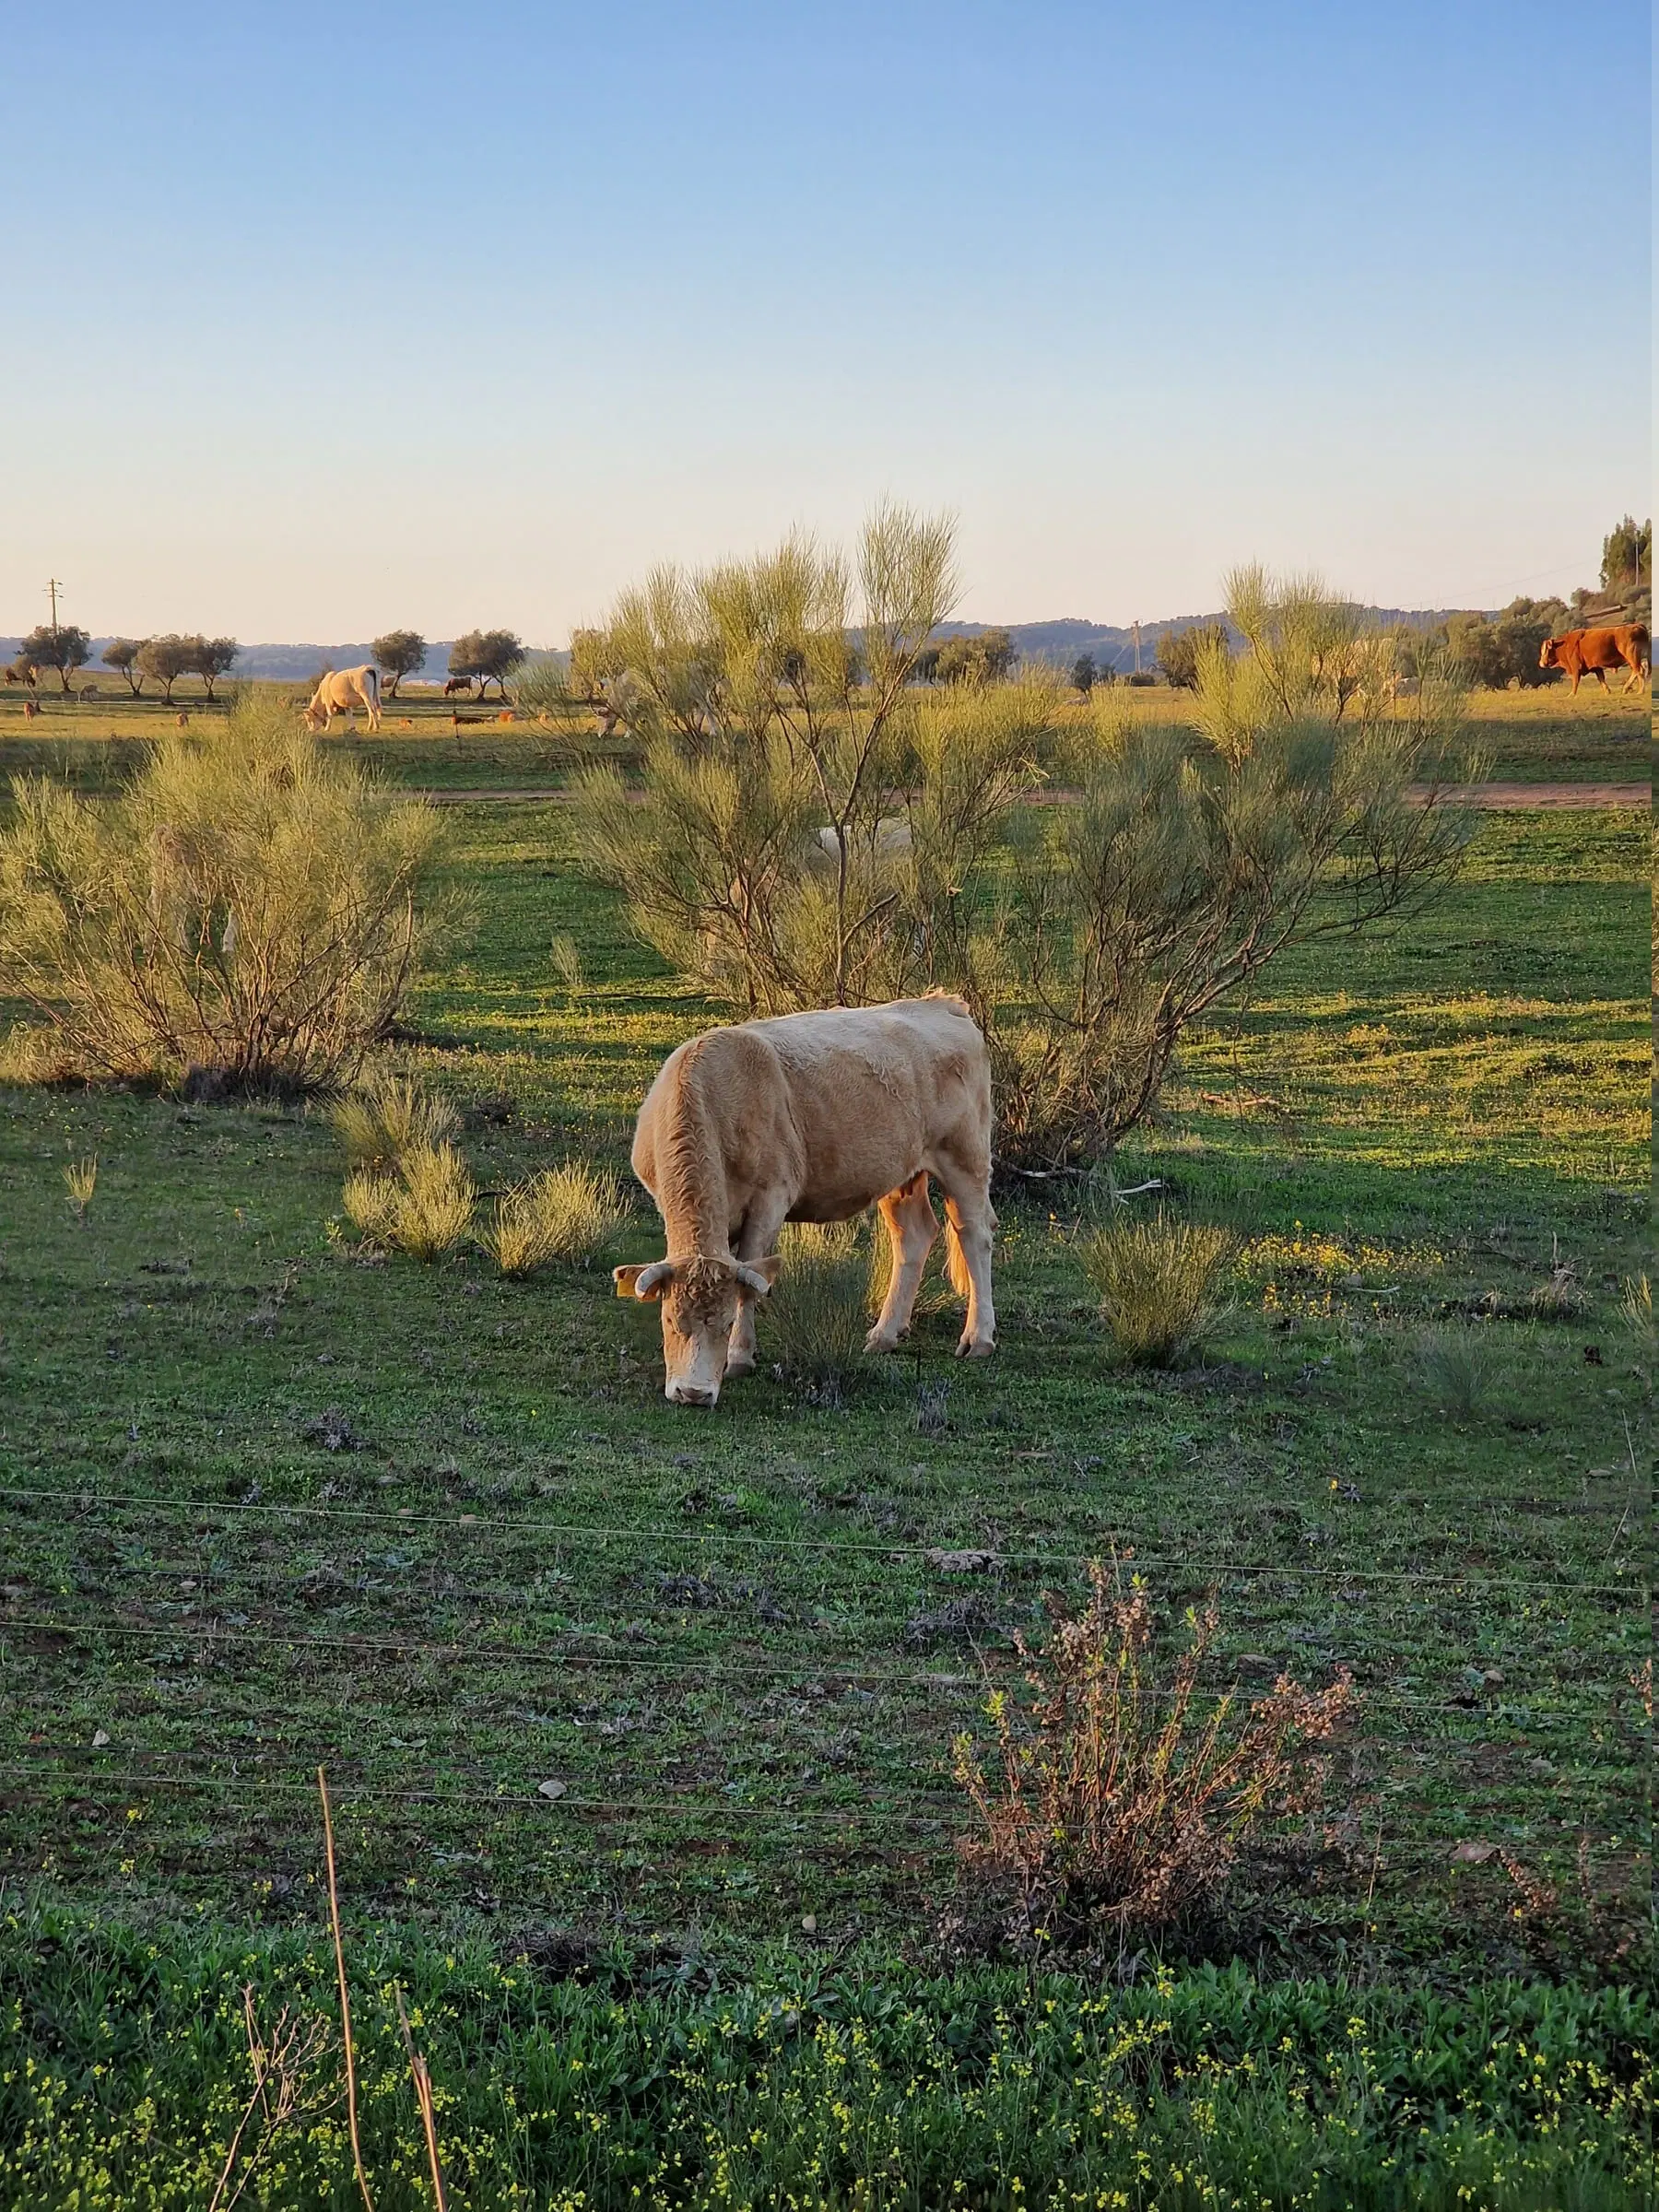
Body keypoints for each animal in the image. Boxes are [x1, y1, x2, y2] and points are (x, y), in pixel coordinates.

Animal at [614, 995, 996, 1406]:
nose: (693, 1393)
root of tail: (940, 1002)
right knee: (914, 1236)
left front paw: (739, 1356)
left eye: (726, 1323)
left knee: (974, 1237)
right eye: (670, 1320)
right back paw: (885, 1334)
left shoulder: (770, 1198)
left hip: (965, 1158)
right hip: (902, 1174)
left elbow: (750, 1275)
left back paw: (978, 1338)